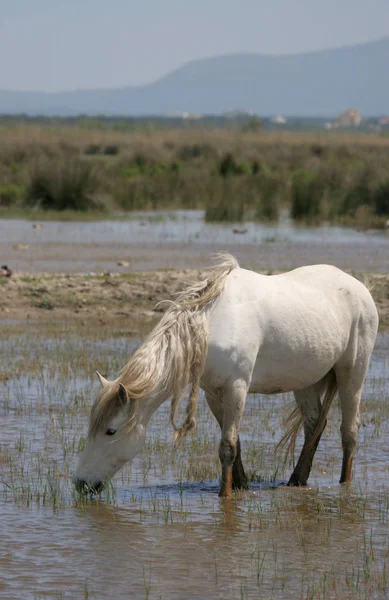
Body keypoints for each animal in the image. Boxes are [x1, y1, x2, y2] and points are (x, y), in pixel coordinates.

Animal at [72, 255, 376, 500]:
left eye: (111, 431)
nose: (80, 484)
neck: (210, 323)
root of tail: (359, 287)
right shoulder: (213, 393)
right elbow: (234, 444)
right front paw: (241, 487)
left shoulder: (236, 388)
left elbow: (227, 446)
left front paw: (225, 496)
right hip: (305, 381)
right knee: (314, 425)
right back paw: (296, 481)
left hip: (353, 372)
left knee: (349, 430)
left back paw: (344, 485)